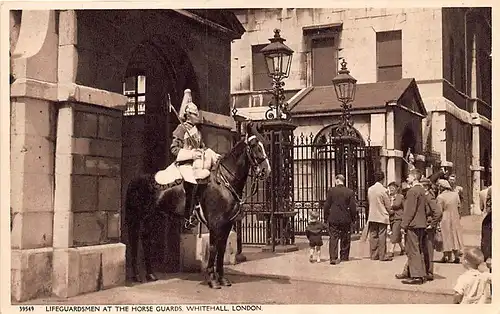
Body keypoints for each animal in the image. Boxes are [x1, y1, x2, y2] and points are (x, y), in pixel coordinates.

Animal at [124, 122, 270, 290]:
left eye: (264, 144)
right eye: (254, 145)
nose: (266, 170)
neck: (224, 181)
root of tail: (135, 179)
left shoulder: (227, 225)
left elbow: (221, 250)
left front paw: (222, 279)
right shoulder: (215, 224)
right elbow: (213, 249)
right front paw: (213, 280)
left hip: (152, 217)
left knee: (146, 239)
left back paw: (150, 275)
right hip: (137, 218)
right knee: (134, 241)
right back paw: (136, 276)